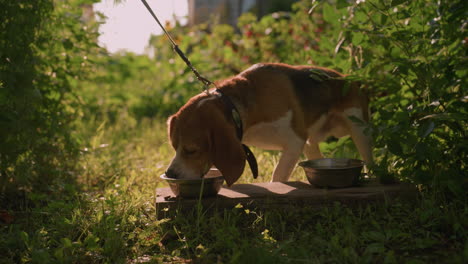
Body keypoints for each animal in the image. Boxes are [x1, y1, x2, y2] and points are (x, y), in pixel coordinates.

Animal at [166, 62, 372, 186]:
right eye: (174, 147)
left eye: (191, 150)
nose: (170, 174)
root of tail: (348, 78)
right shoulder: (299, 143)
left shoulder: (294, 141)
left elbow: (278, 175)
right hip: (310, 144)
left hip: (359, 129)